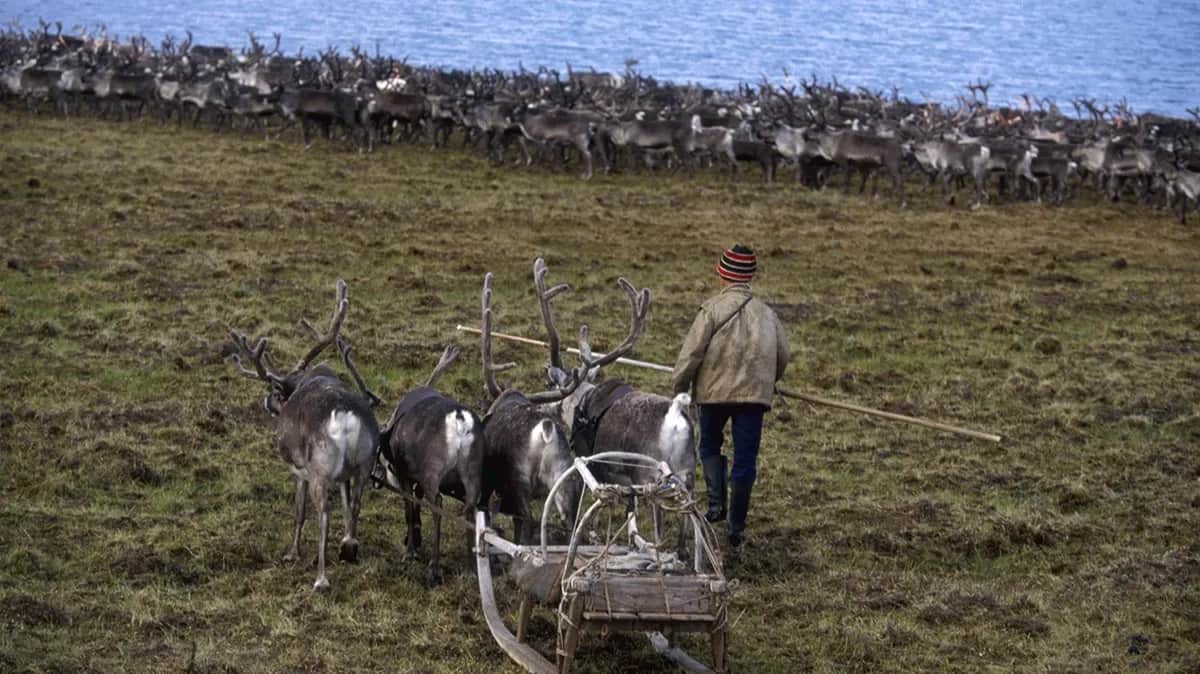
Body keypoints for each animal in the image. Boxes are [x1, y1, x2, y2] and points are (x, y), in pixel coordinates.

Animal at [227, 279, 381, 592]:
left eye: (275, 392)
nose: (266, 402)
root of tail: (345, 416)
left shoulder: (298, 470)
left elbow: (299, 511)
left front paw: (292, 553)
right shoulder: (345, 475)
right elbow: (347, 505)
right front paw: (346, 542)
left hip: (319, 469)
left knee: (323, 511)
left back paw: (321, 579)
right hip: (364, 463)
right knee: (356, 503)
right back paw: (349, 547)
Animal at [375, 345, 483, 584]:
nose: (377, 481)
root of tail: (459, 420)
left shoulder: (406, 474)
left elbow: (409, 509)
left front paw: (410, 550)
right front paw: (414, 541)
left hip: (432, 471)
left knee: (438, 505)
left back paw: (434, 569)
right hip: (471, 472)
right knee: (470, 507)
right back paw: (471, 569)